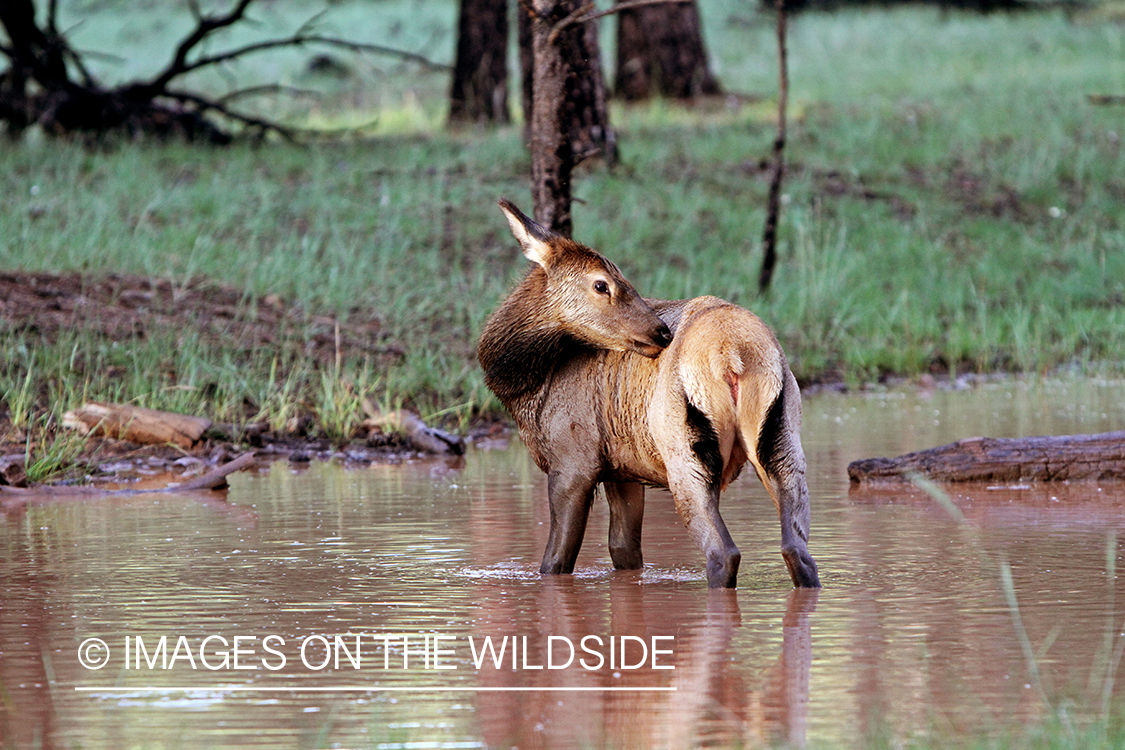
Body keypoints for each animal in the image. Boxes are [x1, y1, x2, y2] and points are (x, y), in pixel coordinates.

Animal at [474, 202, 819, 589]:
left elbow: (556, 561)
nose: (661, 332)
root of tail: (733, 354)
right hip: (783, 442)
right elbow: (625, 552)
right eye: (602, 284)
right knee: (797, 551)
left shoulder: (573, 460)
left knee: (724, 553)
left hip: (684, 453)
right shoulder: (622, 471)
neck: (528, 386)